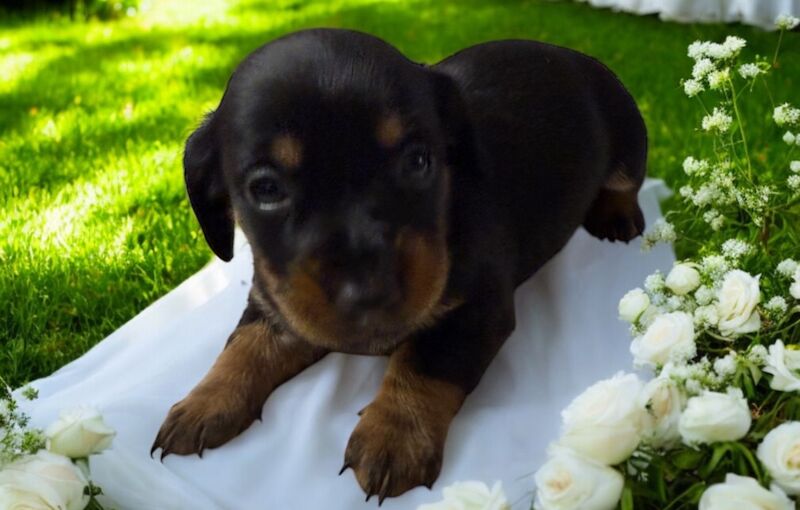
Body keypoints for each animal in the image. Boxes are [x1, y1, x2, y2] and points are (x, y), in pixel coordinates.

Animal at [152, 29, 648, 504]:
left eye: (418, 161)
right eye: (267, 188)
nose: (370, 292)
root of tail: (571, 53)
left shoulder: (477, 310)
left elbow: (425, 362)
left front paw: (394, 437)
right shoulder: (279, 300)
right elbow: (243, 344)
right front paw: (204, 402)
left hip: (628, 135)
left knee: (625, 181)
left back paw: (618, 214)